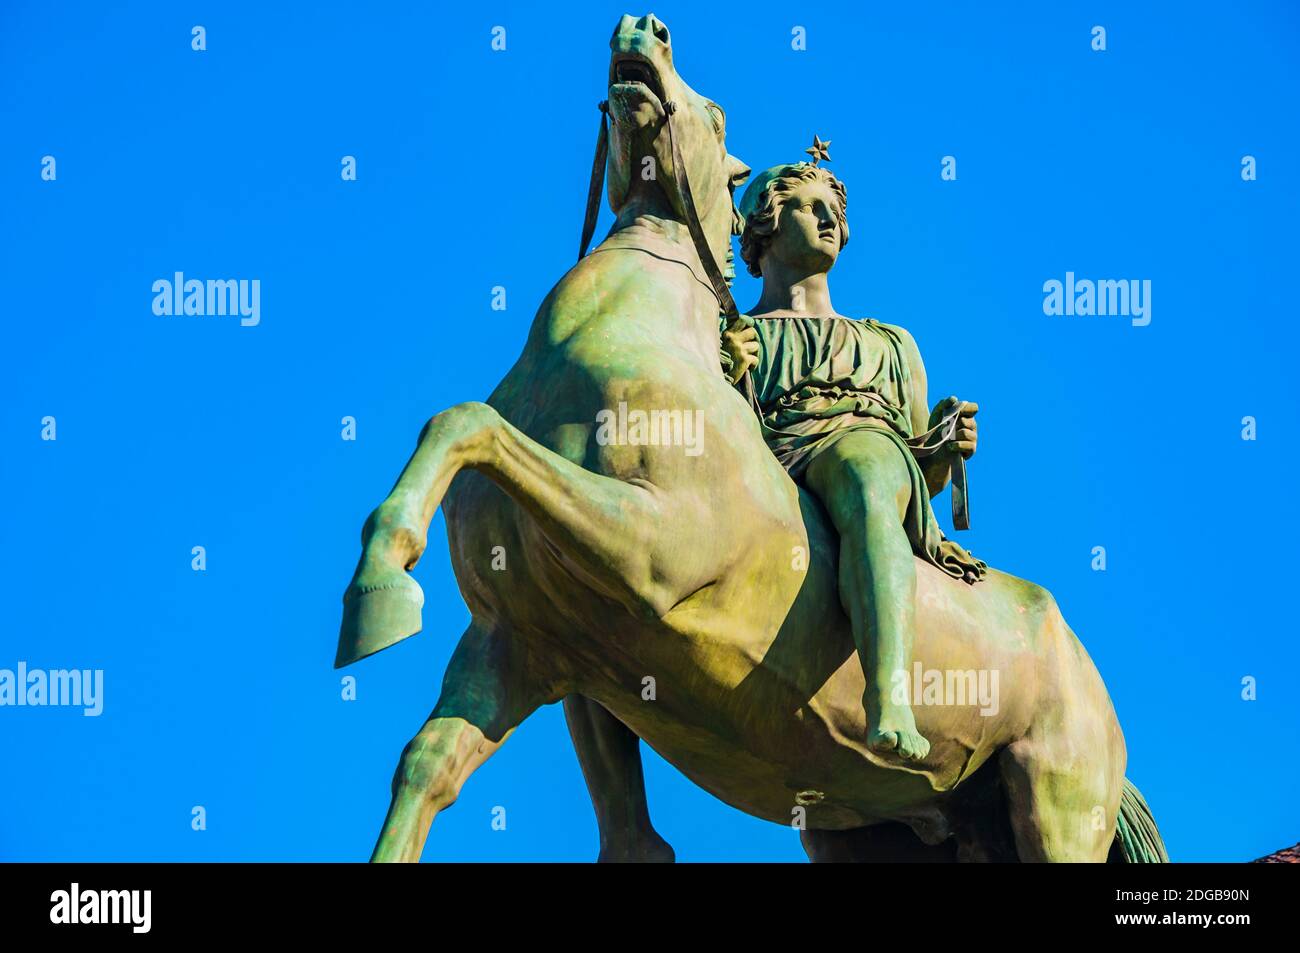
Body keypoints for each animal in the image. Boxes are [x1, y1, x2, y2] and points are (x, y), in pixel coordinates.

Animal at [335, 13, 1170, 863]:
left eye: (716, 114)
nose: (642, 27)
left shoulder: (653, 551)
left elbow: (472, 423)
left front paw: (377, 593)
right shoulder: (519, 642)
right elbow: (427, 765)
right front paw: (379, 596)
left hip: (1055, 798)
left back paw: (895, 726)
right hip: (896, 828)